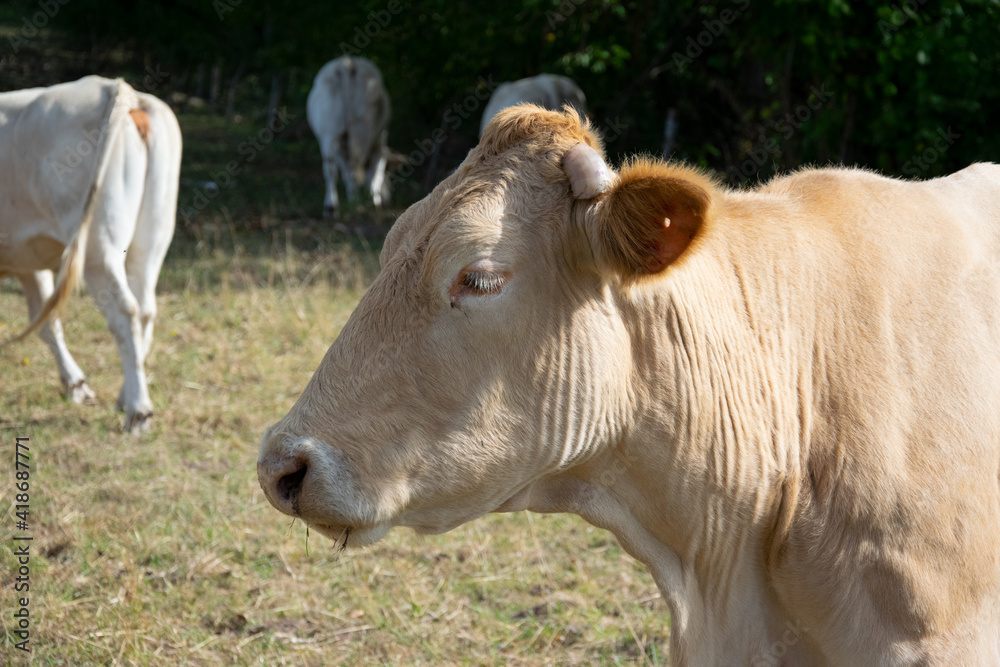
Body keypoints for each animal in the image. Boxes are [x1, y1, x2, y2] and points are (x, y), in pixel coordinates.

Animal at [0, 75, 183, 434]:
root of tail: (120, 89)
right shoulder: (27, 257)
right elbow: (46, 322)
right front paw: (75, 384)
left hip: (100, 247)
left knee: (124, 312)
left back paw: (138, 410)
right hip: (151, 237)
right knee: (144, 309)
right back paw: (126, 396)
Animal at [306, 57, 392, 218]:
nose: (388, 200)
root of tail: (347, 64)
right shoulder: (380, 139)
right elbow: (375, 171)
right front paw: (374, 199)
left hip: (329, 132)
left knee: (330, 169)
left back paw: (331, 206)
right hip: (361, 129)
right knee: (353, 166)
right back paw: (356, 201)